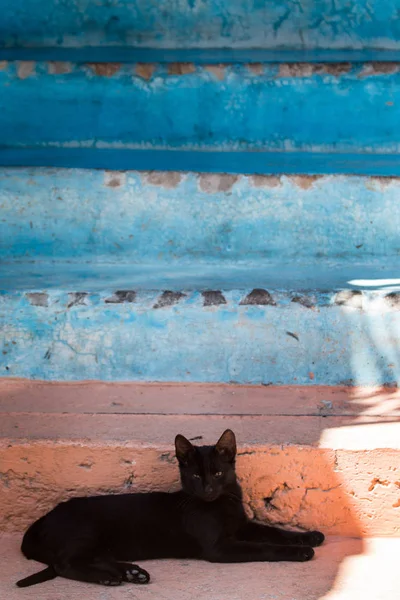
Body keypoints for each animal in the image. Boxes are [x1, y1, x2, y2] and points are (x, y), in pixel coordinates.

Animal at [16, 428, 324, 588]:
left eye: (218, 473)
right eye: (196, 476)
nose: (208, 489)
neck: (221, 505)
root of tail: (43, 519)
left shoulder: (244, 526)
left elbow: (276, 531)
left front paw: (310, 536)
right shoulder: (220, 547)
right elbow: (264, 547)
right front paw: (301, 552)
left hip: (100, 543)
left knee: (89, 558)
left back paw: (131, 573)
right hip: (86, 533)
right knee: (64, 563)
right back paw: (108, 578)